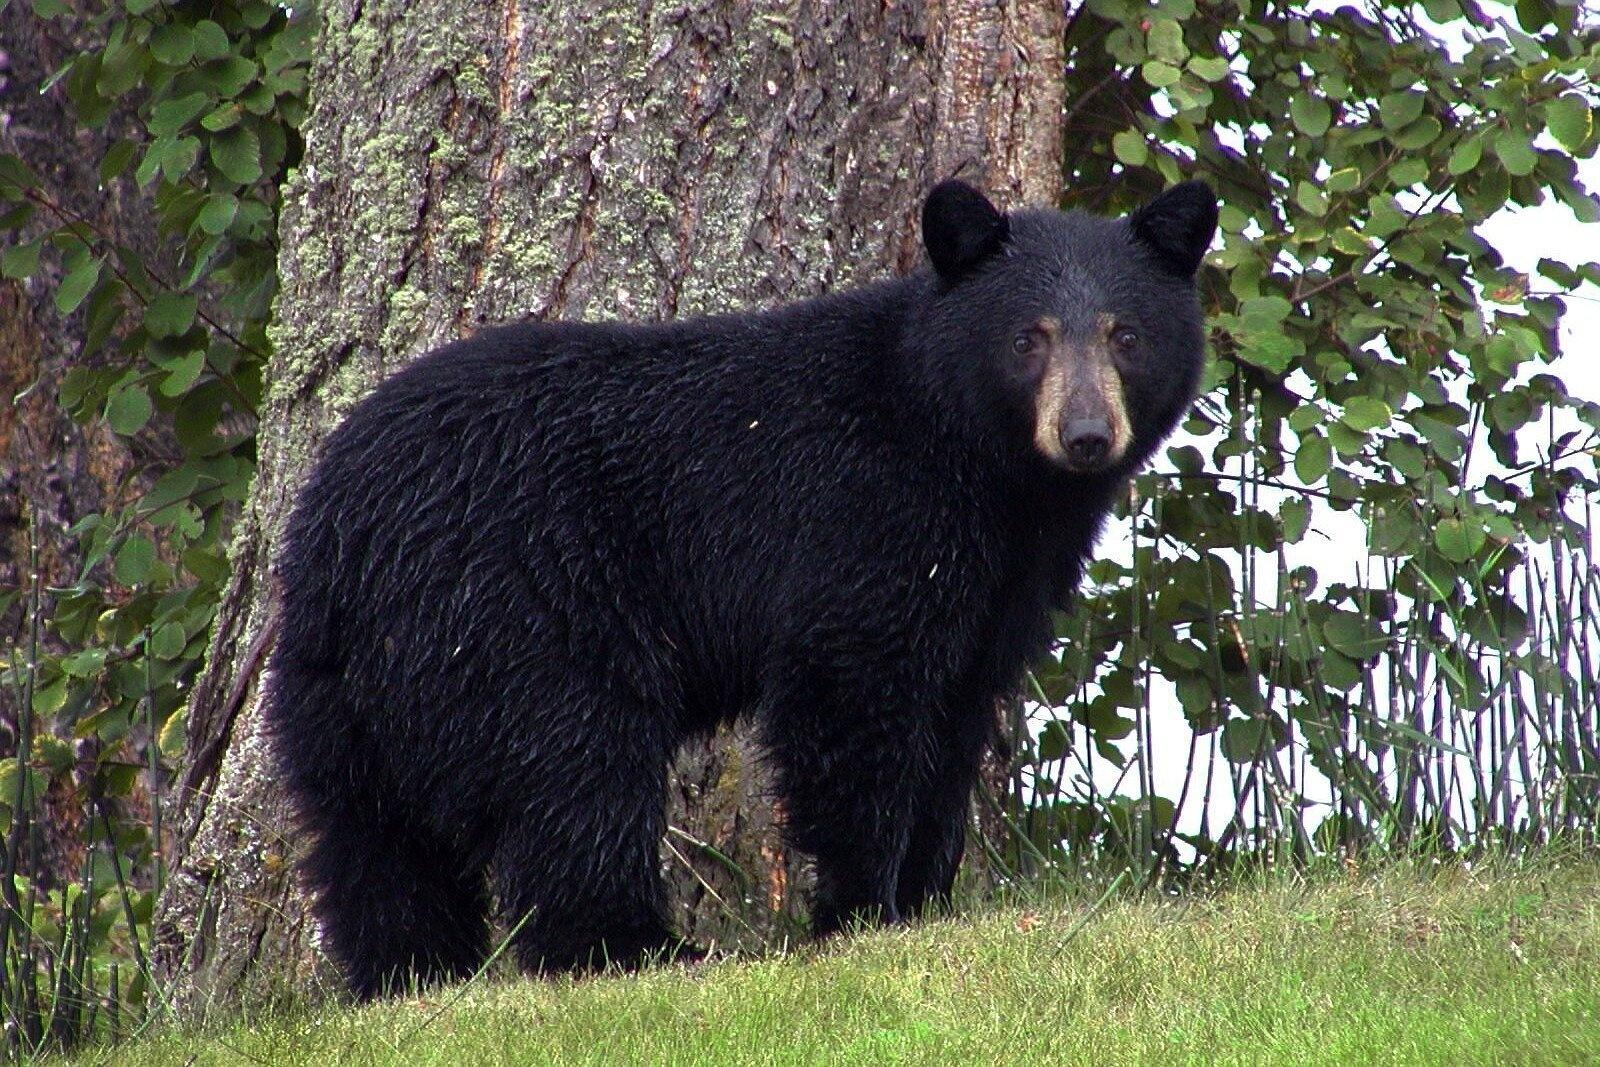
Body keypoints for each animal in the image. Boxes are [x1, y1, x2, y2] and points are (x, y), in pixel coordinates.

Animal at [265, 177, 1209, 1004]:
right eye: (1028, 337)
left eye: (1126, 334)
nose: (1086, 434)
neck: (982, 467)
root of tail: (341, 533)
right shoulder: (867, 517)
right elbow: (853, 694)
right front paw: (862, 910)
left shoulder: (1001, 582)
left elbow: (957, 716)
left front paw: (927, 899)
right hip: (518, 606)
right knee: (575, 770)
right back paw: (639, 947)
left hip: (340, 689)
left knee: (373, 841)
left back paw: (409, 975)